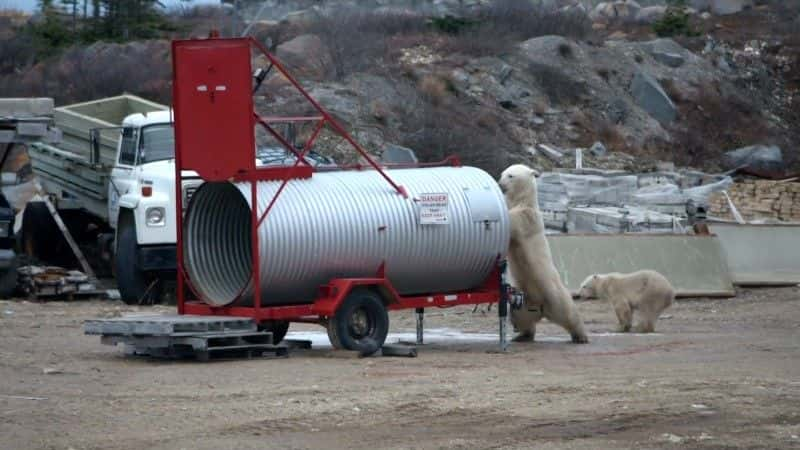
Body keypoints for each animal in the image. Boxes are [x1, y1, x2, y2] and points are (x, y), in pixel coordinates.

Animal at [500, 163, 588, 342]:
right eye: (502, 174)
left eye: (510, 175)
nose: (500, 184)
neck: (523, 200)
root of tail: (542, 308)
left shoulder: (528, 218)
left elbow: (513, 221)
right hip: (524, 300)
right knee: (521, 317)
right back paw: (522, 335)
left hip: (555, 295)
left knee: (569, 314)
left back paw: (581, 336)